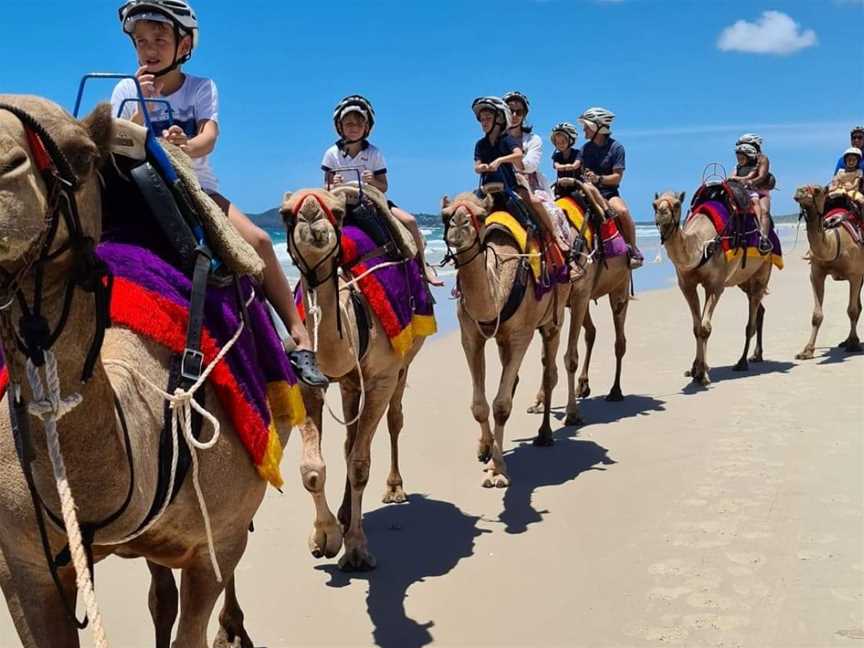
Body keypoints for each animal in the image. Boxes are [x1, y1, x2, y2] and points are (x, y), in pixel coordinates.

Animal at [280, 189, 428, 572]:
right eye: (286, 213)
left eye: (337, 212)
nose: (312, 217)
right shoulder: (307, 382)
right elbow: (313, 468)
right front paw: (324, 537)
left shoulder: (381, 378)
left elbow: (361, 465)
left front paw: (357, 550)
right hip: (349, 383)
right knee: (349, 440)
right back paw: (345, 514)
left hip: (403, 362)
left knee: (393, 420)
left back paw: (394, 489)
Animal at [442, 190, 572, 488]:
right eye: (445, 215)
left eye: (480, 216)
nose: (458, 225)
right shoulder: (470, 335)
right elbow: (479, 405)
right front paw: (485, 449)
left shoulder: (520, 335)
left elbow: (501, 405)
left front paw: (498, 470)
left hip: (554, 317)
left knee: (550, 370)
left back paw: (545, 434)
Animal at [656, 191, 776, 384]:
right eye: (654, 204)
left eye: (676, 204)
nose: (662, 213)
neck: (701, 245)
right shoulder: (686, 285)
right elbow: (697, 327)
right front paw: (695, 370)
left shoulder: (715, 286)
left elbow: (705, 327)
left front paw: (703, 374)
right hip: (743, 280)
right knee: (760, 310)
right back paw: (756, 355)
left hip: (762, 271)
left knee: (751, 321)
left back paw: (742, 362)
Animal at [792, 185, 860, 360]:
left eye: (817, 190)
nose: (799, 191)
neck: (834, 242)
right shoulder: (816, 273)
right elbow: (816, 315)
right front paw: (807, 350)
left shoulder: (855, 275)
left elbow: (852, 310)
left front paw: (853, 344)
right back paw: (845, 341)